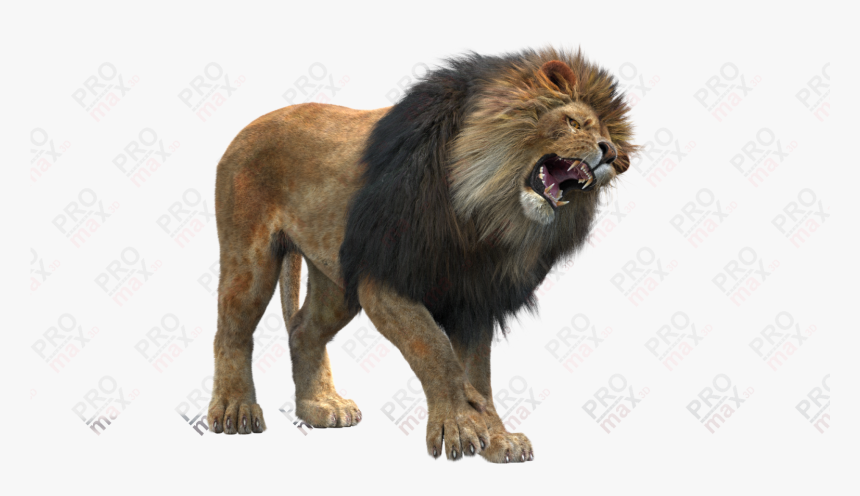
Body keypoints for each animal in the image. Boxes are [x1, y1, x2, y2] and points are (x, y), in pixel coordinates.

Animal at [206, 47, 635, 463]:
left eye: (608, 136)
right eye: (575, 123)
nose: (611, 153)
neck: (483, 215)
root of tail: (253, 124)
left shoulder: (473, 298)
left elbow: (478, 374)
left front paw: (496, 437)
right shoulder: (383, 278)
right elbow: (435, 350)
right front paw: (460, 427)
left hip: (336, 282)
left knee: (302, 330)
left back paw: (321, 406)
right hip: (251, 259)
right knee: (231, 332)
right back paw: (234, 411)